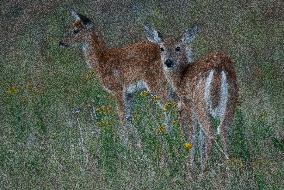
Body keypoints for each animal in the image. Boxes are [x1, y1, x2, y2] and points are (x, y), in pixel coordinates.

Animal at [58, 11, 174, 145]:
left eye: (76, 30)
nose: (61, 42)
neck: (101, 61)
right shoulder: (129, 93)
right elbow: (128, 117)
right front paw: (136, 141)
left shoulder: (117, 89)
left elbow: (121, 116)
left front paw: (125, 144)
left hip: (156, 82)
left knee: (167, 105)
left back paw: (169, 135)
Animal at [144, 24, 240, 174]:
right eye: (161, 48)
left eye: (178, 47)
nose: (168, 62)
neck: (180, 80)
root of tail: (219, 68)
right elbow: (200, 137)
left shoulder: (187, 105)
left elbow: (192, 136)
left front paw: (191, 165)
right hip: (232, 100)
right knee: (222, 129)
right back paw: (228, 167)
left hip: (199, 102)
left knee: (211, 133)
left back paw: (203, 171)